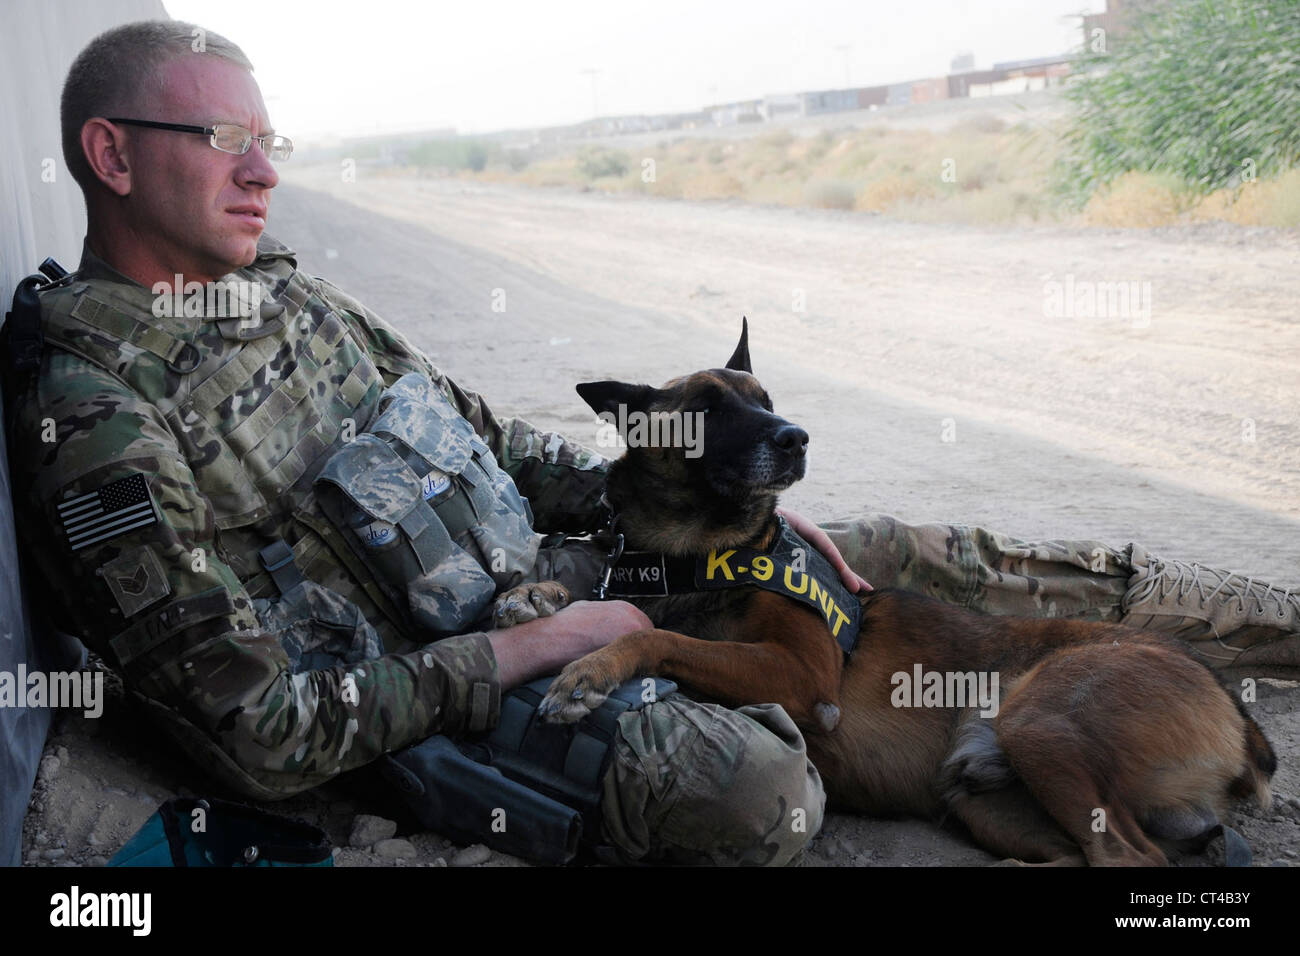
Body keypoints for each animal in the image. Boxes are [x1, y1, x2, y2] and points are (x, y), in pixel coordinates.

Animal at [530, 321, 1279, 868]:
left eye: (767, 402)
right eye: (708, 412)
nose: (797, 438)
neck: (697, 554)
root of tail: (1235, 710)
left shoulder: (803, 676)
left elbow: (655, 633)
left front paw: (587, 670)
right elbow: (626, 611)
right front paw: (536, 599)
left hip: (1042, 727)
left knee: (1128, 859)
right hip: (988, 800)